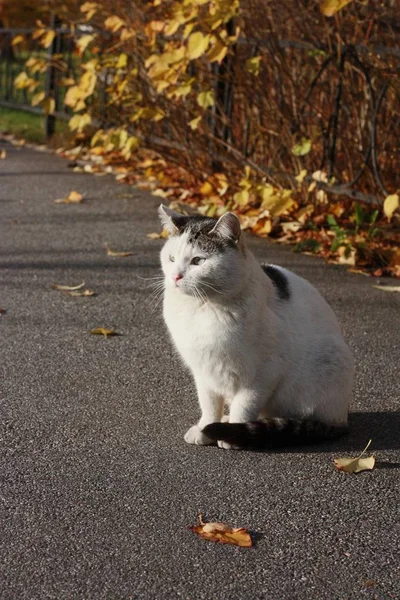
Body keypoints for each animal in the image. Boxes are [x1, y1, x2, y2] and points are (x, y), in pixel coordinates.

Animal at [157, 206, 354, 450]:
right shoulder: (203, 372)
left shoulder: (263, 375)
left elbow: (244, 406)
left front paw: (230, 435)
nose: (175, 276)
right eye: (171, 258)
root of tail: (342, 420)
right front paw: (206, 428)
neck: (202, 307)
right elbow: (209, 404)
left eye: (198, 260)